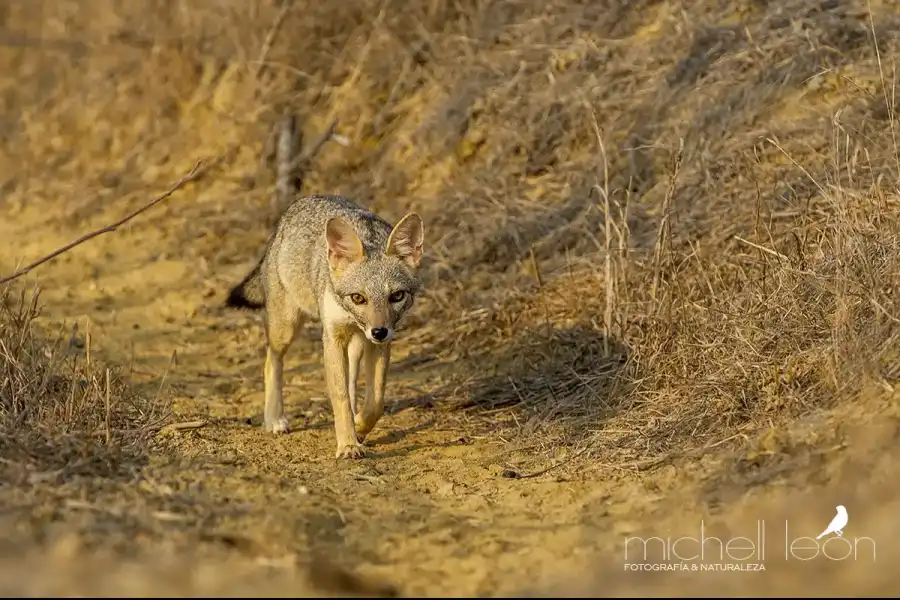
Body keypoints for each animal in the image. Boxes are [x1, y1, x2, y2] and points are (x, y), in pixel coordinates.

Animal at [223, 195, 424, 458]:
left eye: (397, 296)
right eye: (358, 298)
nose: (379, 331)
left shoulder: (378, 344)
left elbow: (376, 401)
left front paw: (358, 428)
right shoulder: (332, 338)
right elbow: (340, 397)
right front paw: (348, 444)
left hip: (356, 345)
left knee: (351, 382)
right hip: (286, 329)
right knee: (271, 361)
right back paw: (275, 419)